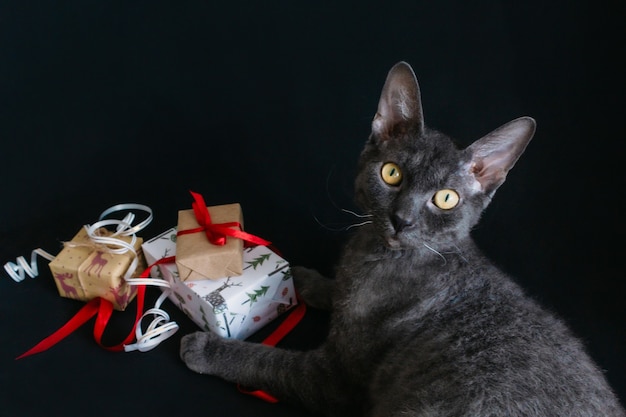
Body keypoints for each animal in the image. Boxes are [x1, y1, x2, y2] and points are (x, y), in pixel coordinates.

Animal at [178, 61, 620, 416]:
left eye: (446, 198)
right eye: (391, 173)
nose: (402, 219)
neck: (373, 255)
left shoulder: (335, 379)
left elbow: (270, 363)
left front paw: (205, 349)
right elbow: (336, 289)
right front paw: (305, 280)